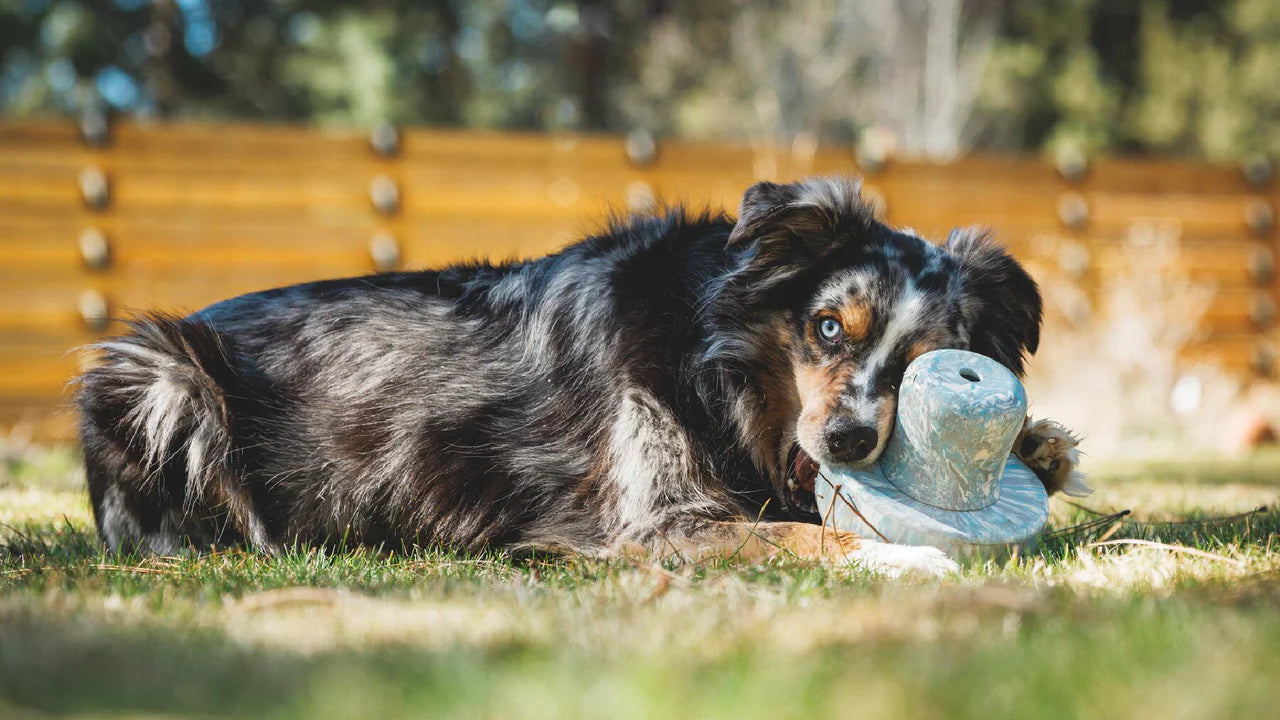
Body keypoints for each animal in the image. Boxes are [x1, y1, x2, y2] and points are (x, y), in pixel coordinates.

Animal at [77, 176, 1080, 573]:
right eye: (829, 326)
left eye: (923, 366)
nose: (849, 438)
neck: (708, 359)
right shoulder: (658, 524)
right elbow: (816, 534)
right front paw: (908, 555)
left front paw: (1039, 445)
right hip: (154, 373)